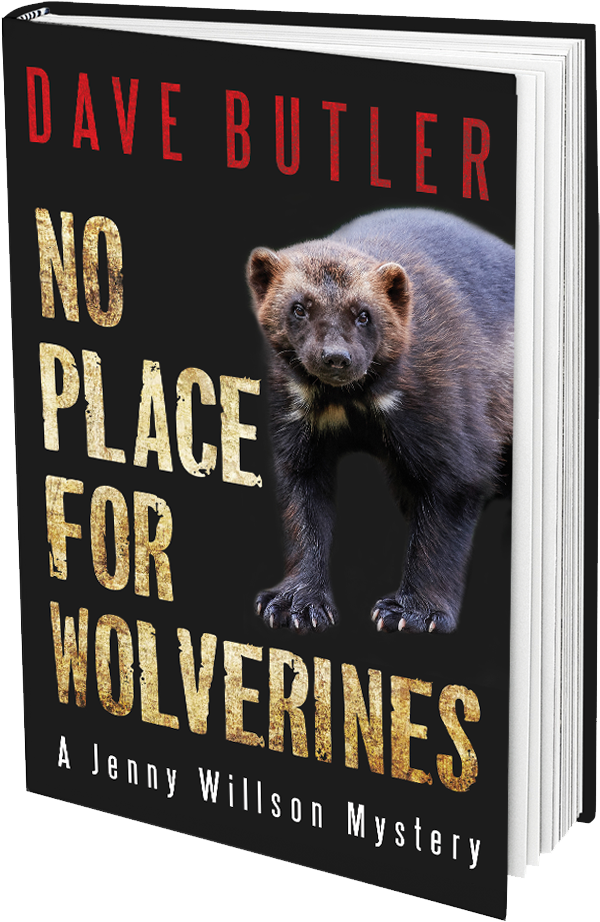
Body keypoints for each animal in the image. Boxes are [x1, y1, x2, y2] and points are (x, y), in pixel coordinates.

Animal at [246, 207, 514, 634]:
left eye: (363, 314)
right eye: (299, 307)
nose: (335, 356)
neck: (349, 402)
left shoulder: (448, 409)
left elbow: (450, 507)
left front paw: (413, 612)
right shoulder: (293, 418)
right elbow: (303, 508)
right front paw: (294, 603)